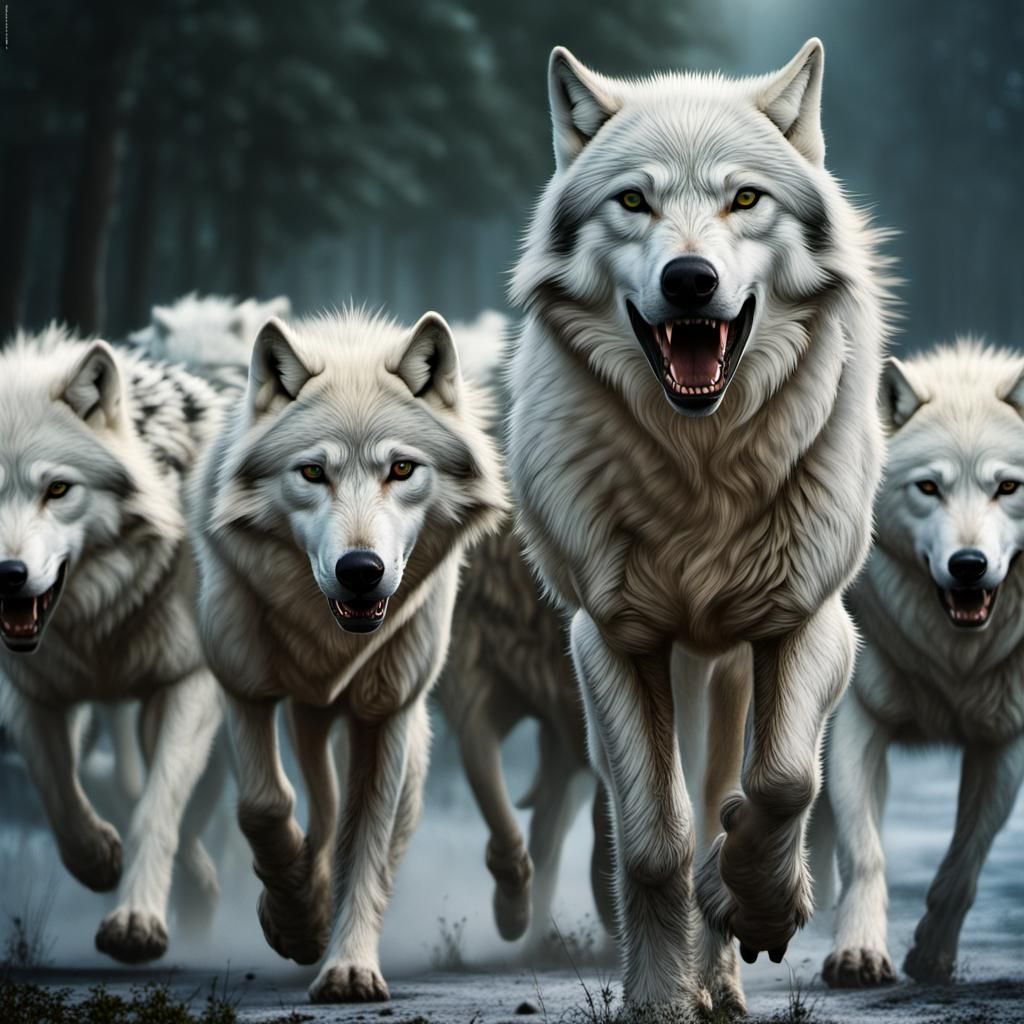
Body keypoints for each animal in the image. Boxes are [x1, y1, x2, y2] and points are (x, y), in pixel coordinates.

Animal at [0, 326, 225, 962]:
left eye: (57, 489)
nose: (6, 575)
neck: (96, 627)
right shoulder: (32, 693)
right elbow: (57, 790)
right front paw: (99, 857)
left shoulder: (189, 684)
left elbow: (158, 810)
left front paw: (136, 922)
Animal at [193, 309, 506, 1003]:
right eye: (313, 473)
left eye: (401, 469)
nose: (360, 570)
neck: (331, 641)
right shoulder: (243, 687)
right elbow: (263, 807)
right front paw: (294, 916)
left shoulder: (384, 717)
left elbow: (364, 844)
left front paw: (348, 967)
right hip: (308, 718)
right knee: (316, 802)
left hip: (401, 741)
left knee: (363, 829)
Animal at [506, 39, 892, 1015]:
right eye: (633, 201)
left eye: (744, 199)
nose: (690, 279)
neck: (701, 470)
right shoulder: (612, 638)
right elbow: (654, 841)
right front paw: (655, 998)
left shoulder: (807, 622)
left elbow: (782, 782)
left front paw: (751, 901)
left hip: (730, 671)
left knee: (729, 781)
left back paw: (724, 965)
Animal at [821, 341, 1024, 987]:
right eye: (929, 487)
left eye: (1007, 487)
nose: (968, 564)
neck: (953, 657)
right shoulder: (858, 719)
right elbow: (865, 851)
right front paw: (858, 954)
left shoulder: (1002, 740)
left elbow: (965, 861)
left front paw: (933, 952)